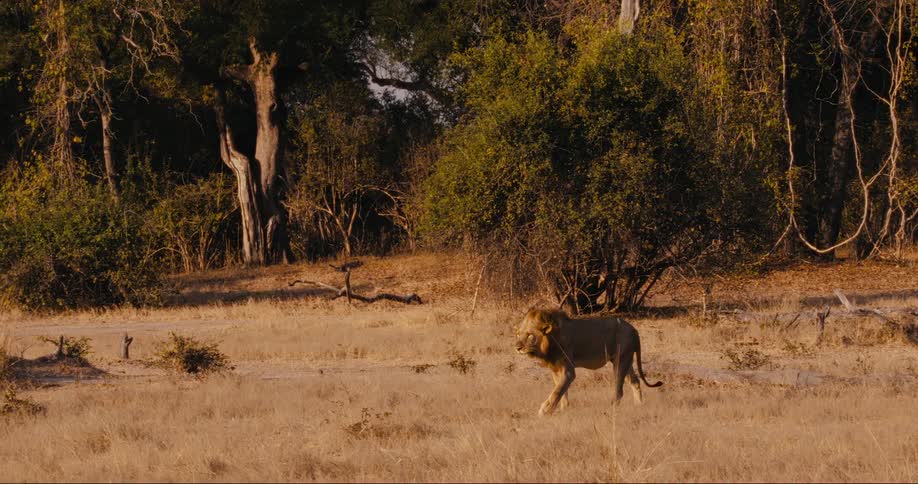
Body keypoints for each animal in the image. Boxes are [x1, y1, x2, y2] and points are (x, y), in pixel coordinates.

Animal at [515, 308, 663, 415]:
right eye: (518, 334)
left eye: (530, 335)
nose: (517, 348)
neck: (549, 342)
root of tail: (634, 329)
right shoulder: (556, 369)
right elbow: (561, 390)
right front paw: (563, 409)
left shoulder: (568, 371)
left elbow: (558, 390)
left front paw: (545, 410)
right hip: (626, 360)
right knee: (635, 381)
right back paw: (639, 406)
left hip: (620, 360)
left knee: (619, 389)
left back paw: (612, 408)